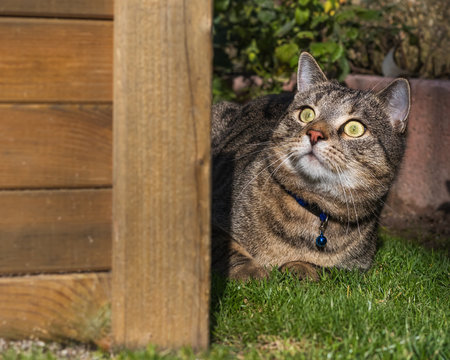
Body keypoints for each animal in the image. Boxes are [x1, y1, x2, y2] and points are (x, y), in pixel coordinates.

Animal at [213, 52, 410, 280]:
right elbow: (225, 246)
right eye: (306, 114)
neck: (315, 210)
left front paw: (301, 267)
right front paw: (250, 271)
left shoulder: (356, 267)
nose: (315, 134)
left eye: (354, 128)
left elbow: (327, 269)